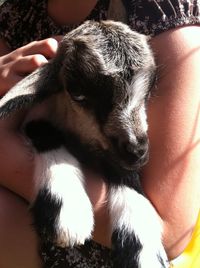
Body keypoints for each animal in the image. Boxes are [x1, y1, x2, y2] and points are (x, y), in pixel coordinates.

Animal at [0, 19, 169, 266]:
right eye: (78, 94)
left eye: (148, 92)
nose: (138, 151)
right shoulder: (34, 117)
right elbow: (45, 131)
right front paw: (68, 208)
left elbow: (124, 171)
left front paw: (142, 247)